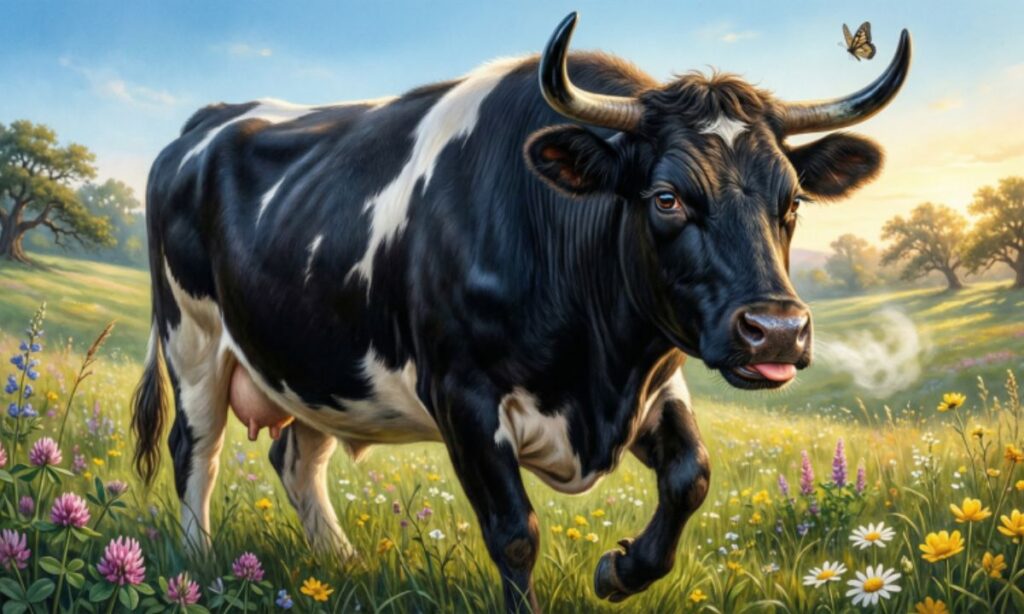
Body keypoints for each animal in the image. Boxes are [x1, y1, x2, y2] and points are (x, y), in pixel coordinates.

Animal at [131, 12, 910, 612]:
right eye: (666, 197)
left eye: (793, 200)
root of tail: (208, 119)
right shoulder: (463, 395)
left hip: (323, 367)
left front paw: (619, 570)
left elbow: (693, 477)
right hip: (193, 343)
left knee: (297, 458)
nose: (776, 331)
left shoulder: (653, 378)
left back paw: (343, 564)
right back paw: (198, 569)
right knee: (196, 452)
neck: (599, 376)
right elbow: (514, 533)